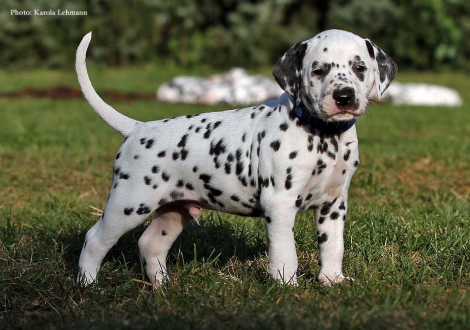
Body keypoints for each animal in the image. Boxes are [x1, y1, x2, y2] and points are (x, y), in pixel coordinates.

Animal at [74, 29, 396, 286]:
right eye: (318, 71)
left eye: (360, 68)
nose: (344, 96)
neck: (323, 134)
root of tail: (138, 127)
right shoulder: (279, 204)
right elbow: (285, 252)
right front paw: (287, 286)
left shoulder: (334, 203)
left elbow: (333, 246)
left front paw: (332, 280)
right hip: (129, 204)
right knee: (95, 239)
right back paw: (88, 285)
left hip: (175, 210)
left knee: (151, 243)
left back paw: (162, 286)